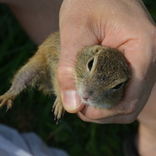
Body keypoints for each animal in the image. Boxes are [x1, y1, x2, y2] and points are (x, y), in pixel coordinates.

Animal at [0, 31, 130, 120]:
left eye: (118, 86)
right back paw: (7, 96)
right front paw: (61, 103)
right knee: (20, 80)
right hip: (33, 67)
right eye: (90, 63)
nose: (87, 95)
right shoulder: (57, 66)